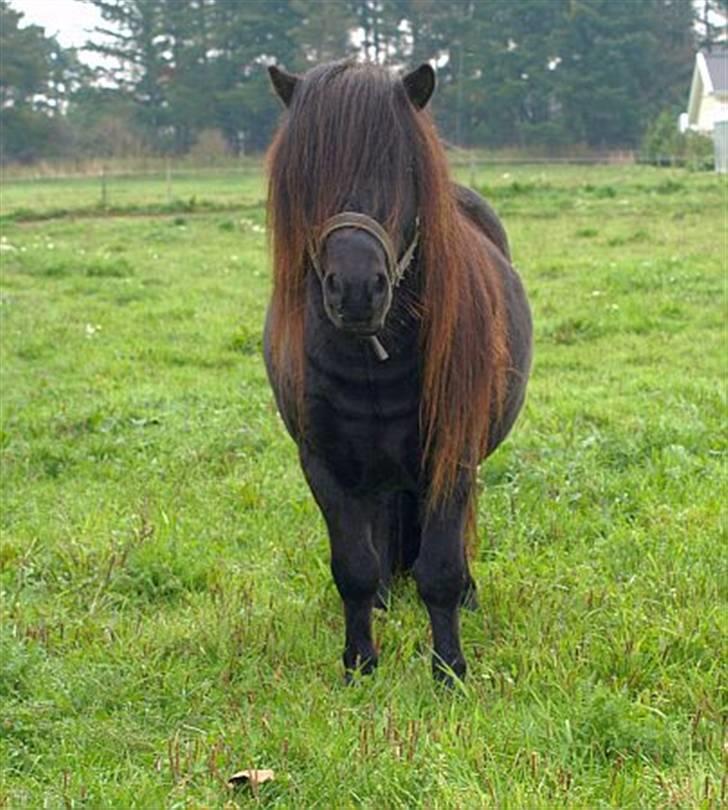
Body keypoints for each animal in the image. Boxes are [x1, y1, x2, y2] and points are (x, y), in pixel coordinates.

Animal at [264, 58, 532, 680]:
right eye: (305, 175)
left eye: (400, 168)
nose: (357, 289)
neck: (373, 359)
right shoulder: (323, 464)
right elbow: (353, 567)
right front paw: (359, 664)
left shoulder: (451, 456)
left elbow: (440, 568)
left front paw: (449, 670)